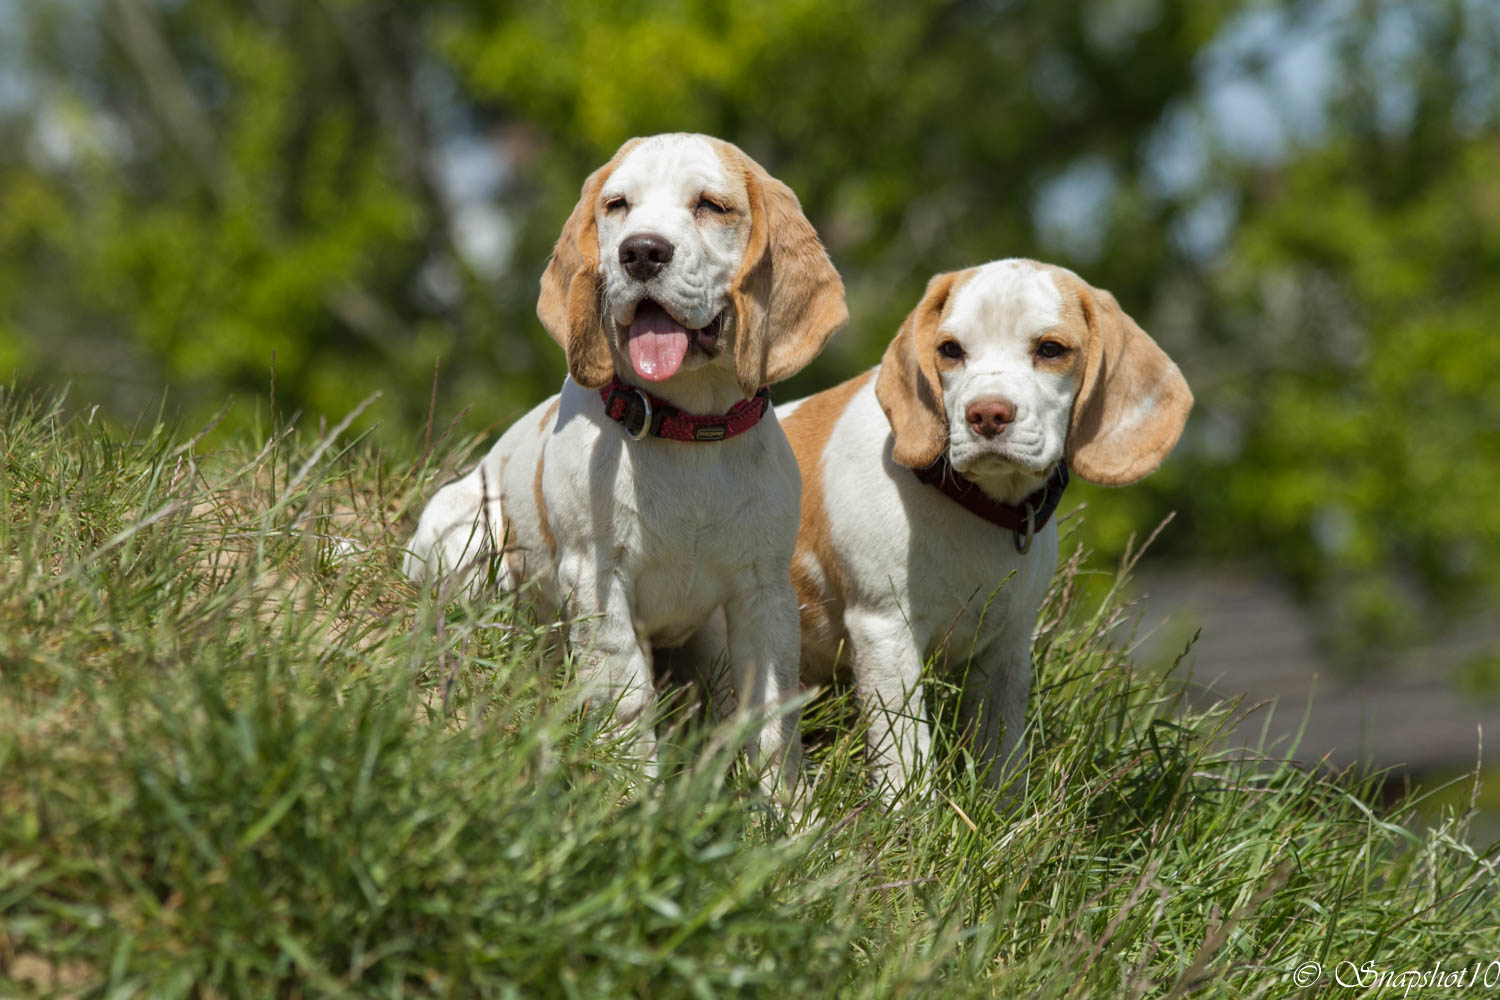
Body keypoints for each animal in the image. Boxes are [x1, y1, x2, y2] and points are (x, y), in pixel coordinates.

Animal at [405, 132, 852, 791]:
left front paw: (783, 808)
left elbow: (770, 720)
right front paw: (633, 794)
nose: (641, 252)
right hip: (465, 533)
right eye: (617, 205)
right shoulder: (598, 579)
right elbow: (628, 698)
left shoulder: (763, 592)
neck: (687, 432)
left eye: (711, 206)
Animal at [780, 260, 1188, 803]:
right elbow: (906, 751)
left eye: (1050, 350)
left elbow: (1003, 748)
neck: (974, 506)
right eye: (951, 350)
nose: (987, 414)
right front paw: (911, 815)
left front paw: (1005, 810)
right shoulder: (884, 631)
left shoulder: (1008, 643)